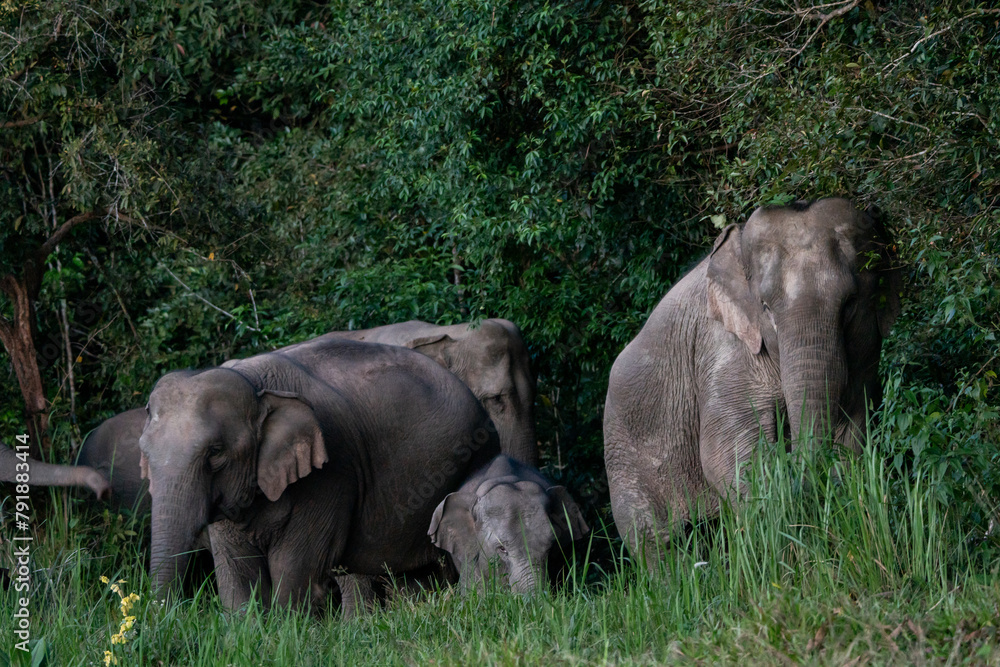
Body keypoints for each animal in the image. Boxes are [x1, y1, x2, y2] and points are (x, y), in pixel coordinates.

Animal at [140, 337, 500, 611]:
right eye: (144, 452)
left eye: (215, 453)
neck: (254, 383)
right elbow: (237, 573)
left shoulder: (332, 471)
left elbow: (294, 567)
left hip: (473, 457)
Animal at [604, 198, 902, 564]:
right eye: (766, 308)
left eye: (849, 304)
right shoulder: (723, 350)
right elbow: (725, 452)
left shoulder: (865, 355)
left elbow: (854, 429)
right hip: (624, 457)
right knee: (657, 544)